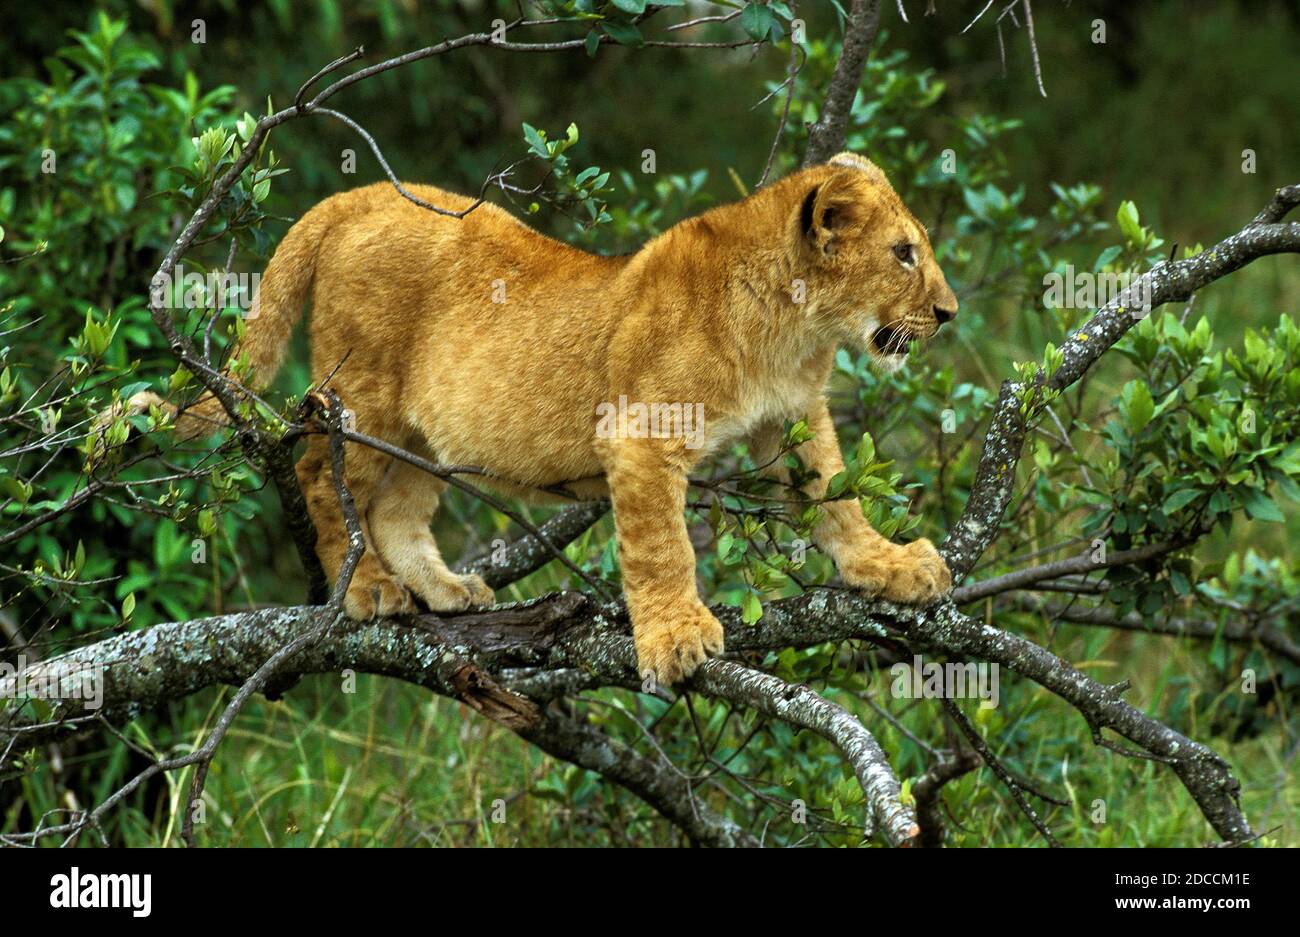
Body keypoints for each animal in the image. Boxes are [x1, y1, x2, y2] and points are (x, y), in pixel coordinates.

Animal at [123, 152, 958, 684]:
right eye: (904, 253)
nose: (949, 313)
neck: (795, 329)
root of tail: (362, 195)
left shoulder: (791, 416)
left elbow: (836, 495)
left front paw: (889, 565)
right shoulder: (640, 431)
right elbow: (660, 546)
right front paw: (675, 638)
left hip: (427, 429)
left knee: (395, 509)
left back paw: (445, 589)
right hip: (366, 394)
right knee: (320, 476)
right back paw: (363, 591)